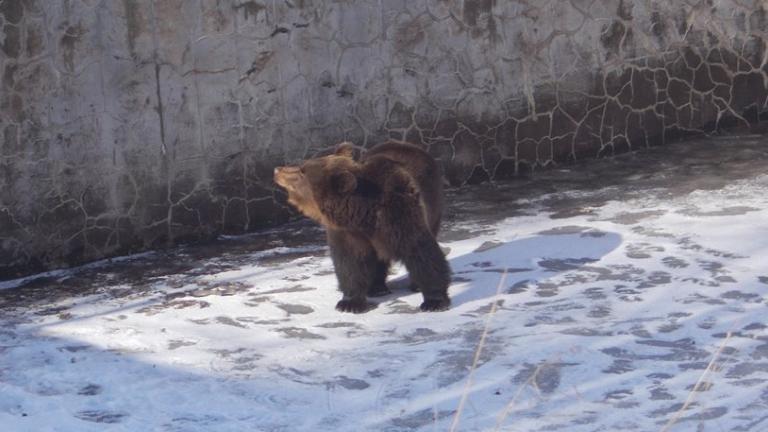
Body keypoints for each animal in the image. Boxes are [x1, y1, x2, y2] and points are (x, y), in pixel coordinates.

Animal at [274, 142, 450, 314]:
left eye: (302, 172)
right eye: (302, 166)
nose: (277, 170)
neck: (363, 215)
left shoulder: (399, 214)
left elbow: (421, 252)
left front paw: (434, 301)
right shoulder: (348, 232)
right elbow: (350, 263)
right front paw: (349, 303)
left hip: (433, 202)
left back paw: (413, 285)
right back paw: (377, 288)